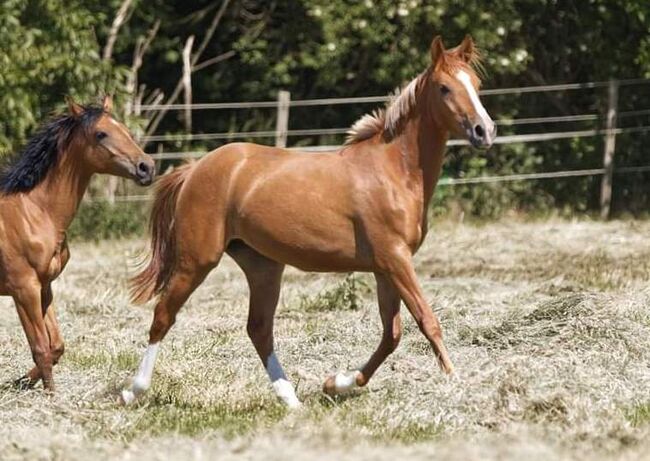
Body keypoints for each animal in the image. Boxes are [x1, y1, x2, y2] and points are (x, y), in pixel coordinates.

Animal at [0, 97, 154, 392]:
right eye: (101, 134)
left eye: (124, 128)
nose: (147, 167)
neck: (34, 212)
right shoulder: (23, 290)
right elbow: (40, 348)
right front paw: (51, 395)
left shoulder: (44, 287)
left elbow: (56, 346)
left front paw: (22, 380)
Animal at [124, 36, 494, 410]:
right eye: (444, 88)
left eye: (476, 85)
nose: (485, 131)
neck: (393, 171)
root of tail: (194, 169)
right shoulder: (395, 259)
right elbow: (427, 321)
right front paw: (455, 381)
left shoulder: (385, 268)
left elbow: (391, 335)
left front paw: (336, 383)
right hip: (197, 260)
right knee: (163, 315)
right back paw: (133, 391)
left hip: (263, 266)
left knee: (259, 328)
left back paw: (292, 400)